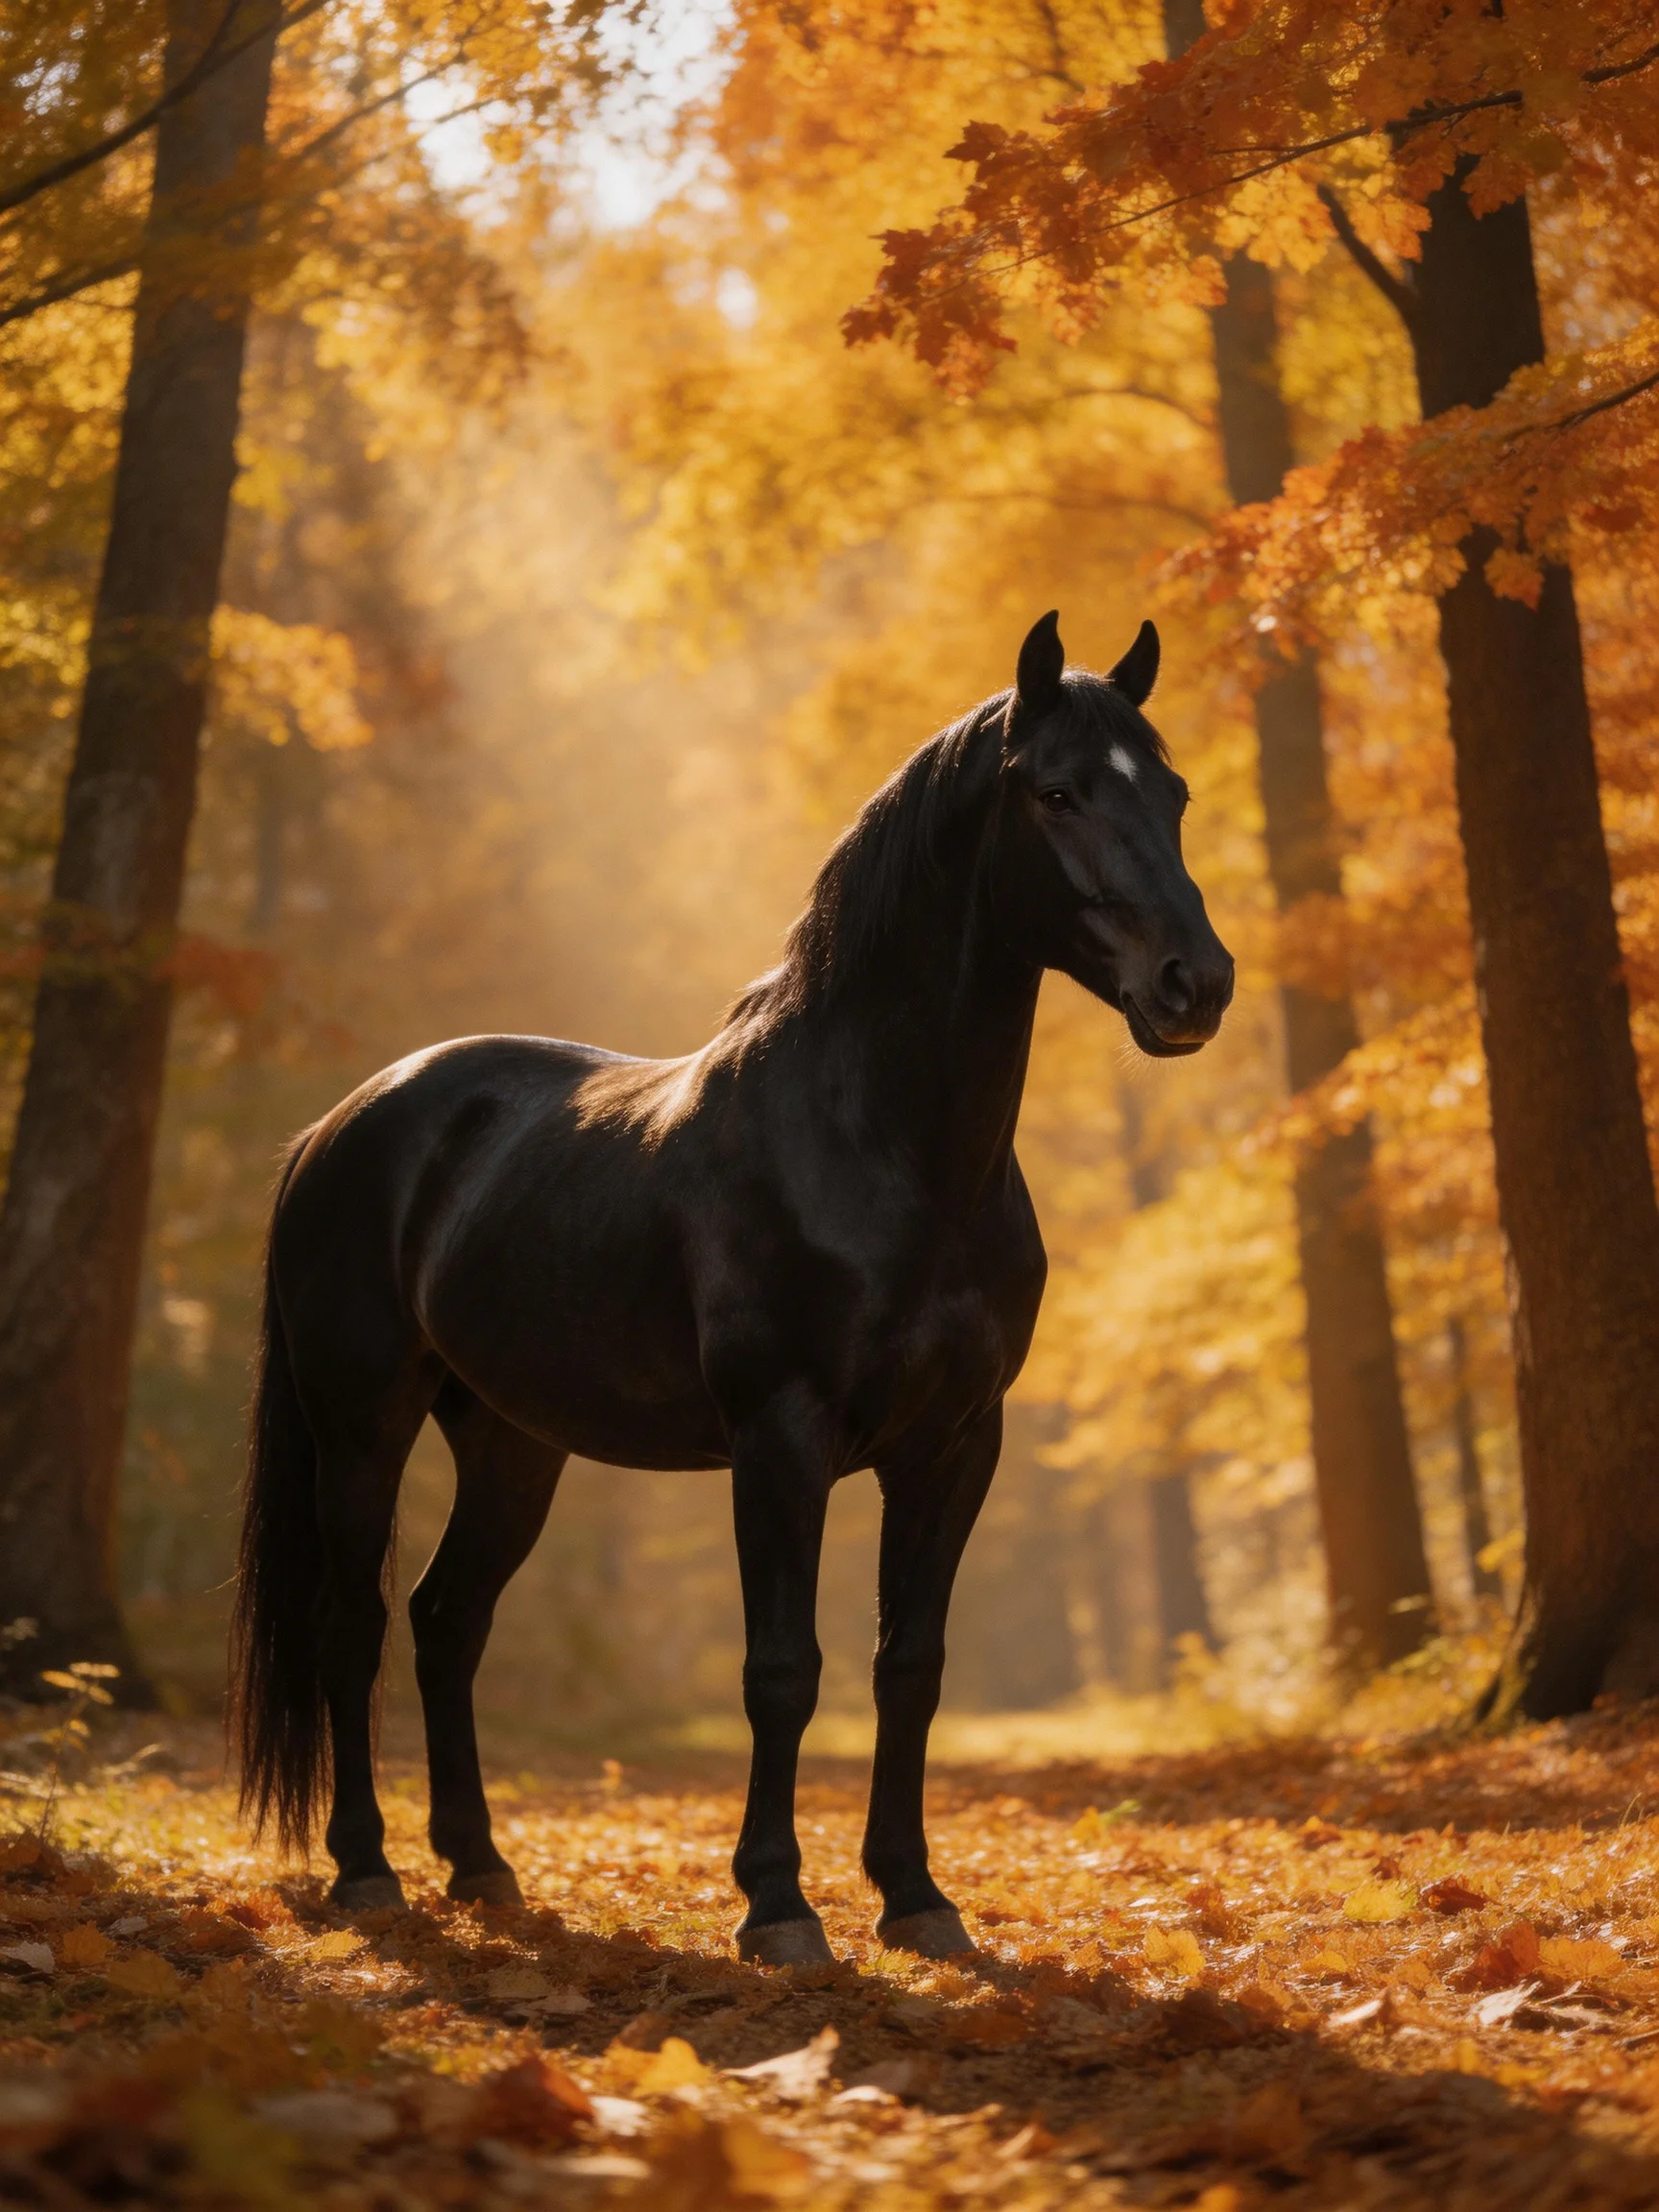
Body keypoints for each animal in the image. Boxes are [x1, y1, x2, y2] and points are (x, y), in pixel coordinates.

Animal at [231, 610, 1234, 1963]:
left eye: (1171, 795)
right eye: (1058, 792)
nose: (1196, 984)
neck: (881, 1148)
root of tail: (341, 1125)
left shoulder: (958, 1444)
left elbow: (909, 1664)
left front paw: (914, 1896)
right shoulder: (780, 1437)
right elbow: (783, 1669)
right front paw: (777, 1906)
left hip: (510, 1443)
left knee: (448, 1624)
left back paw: (482, 1867)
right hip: (361, 1429)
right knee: (356, 1630)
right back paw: (365, 1870)